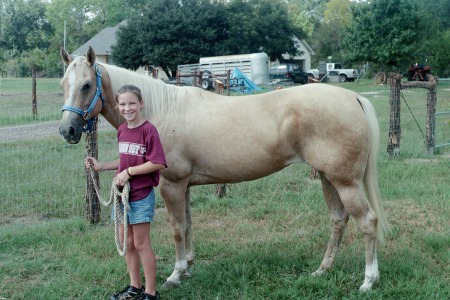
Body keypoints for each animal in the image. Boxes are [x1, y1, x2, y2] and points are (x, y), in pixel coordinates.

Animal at [59, 47, 390, 290]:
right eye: (64, 85)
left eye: (87, 85)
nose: (68, 130)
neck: (161, 111)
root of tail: (354, 98)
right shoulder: (184, 186)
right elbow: (188, 226)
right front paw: (188, 268)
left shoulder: (171, 185)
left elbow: (177, 229)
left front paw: (175, 275)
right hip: (327, 178)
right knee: (338, 220)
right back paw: (322, 270)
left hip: (345, 181)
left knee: (367, 221)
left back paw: (368, 281)